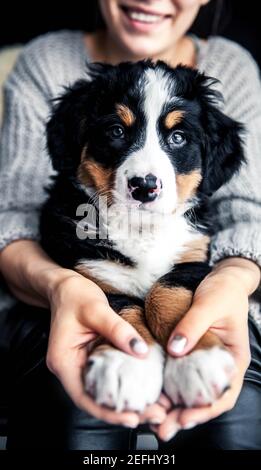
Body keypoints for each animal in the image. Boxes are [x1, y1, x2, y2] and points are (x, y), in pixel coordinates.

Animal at [39, 60, 243, 414]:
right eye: (116, 132)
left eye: (177, 137)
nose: (145, 186)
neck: (141, 227)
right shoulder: (88, 265)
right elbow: (120, 306)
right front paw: (126, 363)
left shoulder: (194, 258)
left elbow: (166, 291)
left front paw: (195, 359)